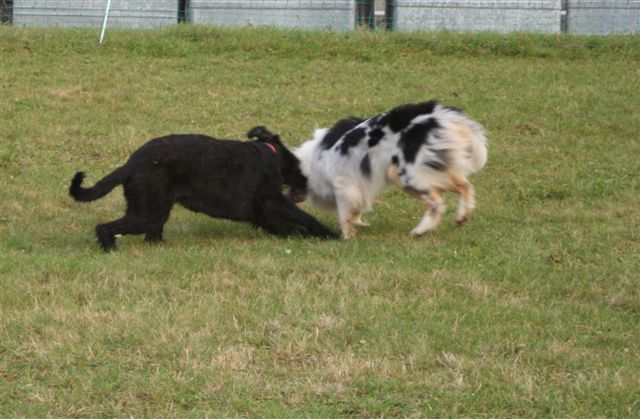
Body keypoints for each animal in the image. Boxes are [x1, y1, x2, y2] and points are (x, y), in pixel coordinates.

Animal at [69, 126, 339, 251]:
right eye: (298, 167)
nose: (306, 183)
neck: (269, 154)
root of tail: (132, 163)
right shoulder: (272, 202)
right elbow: (303, 219)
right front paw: (328, 234)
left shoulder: (262, 214)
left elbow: (286, 226)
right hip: (147, 213)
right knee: (105, 227)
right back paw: (110, 248)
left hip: (155, 210)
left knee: (151, 235)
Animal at [295, 101, 488, 238]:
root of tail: (435, 114)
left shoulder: (344, 185)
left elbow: (345, 214)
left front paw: (348, 234)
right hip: (430, 168)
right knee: (464, 185)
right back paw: (462, 215)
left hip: (407, 175)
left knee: (437, 204)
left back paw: (420, 231)